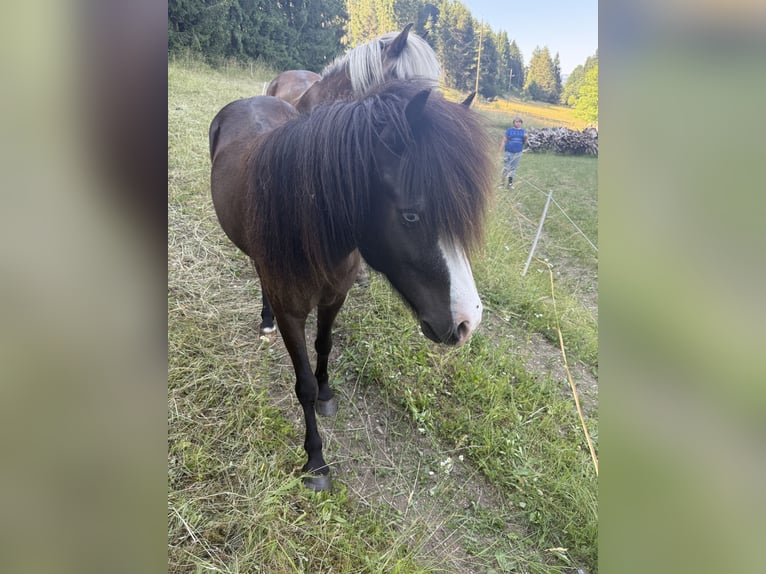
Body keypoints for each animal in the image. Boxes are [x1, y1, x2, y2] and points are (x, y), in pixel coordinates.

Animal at [209, 80, 494, 490]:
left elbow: (324, 347)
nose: (468, 321)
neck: (311, 228)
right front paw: (315, 461)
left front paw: (327, 393)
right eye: (411, 215)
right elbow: (304, 385)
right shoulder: (292, 313)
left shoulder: (334, 298)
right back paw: (265, 319)